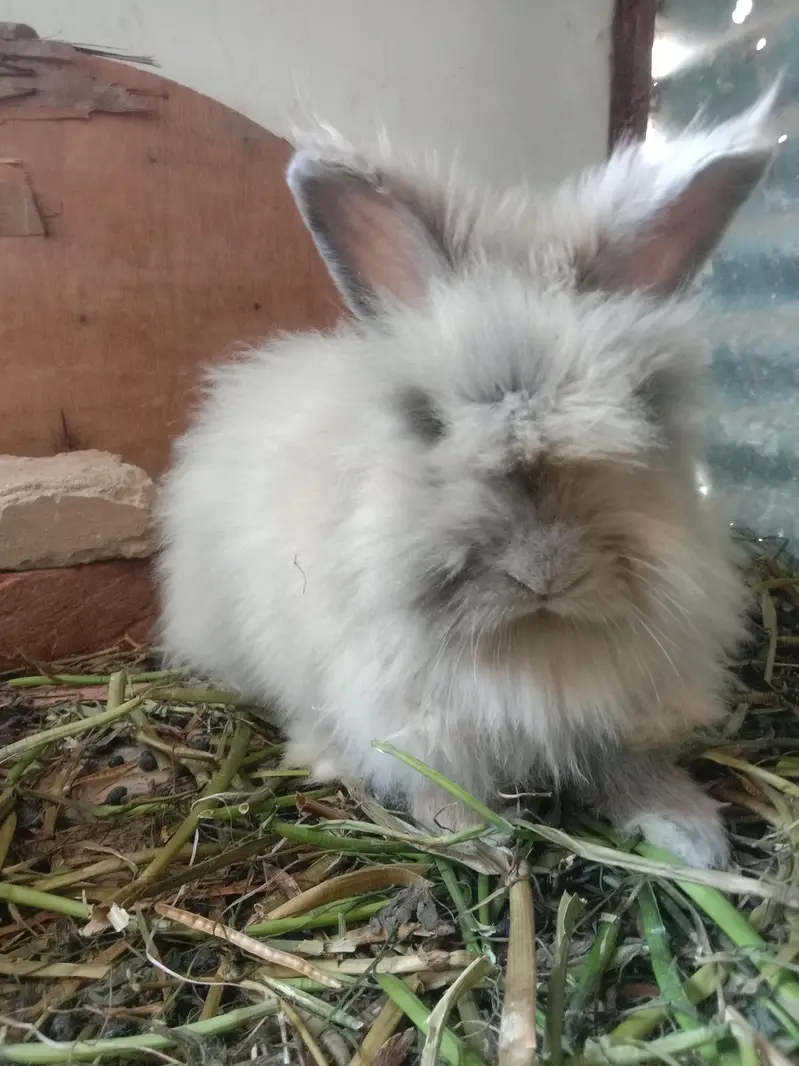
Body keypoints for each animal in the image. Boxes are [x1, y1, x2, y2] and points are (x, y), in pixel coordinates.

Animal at [156, 91, 778, 870]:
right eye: (428, 422)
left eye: (643, 406)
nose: (546, 573)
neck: (538, 643)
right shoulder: (412, 721)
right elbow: (440, 785)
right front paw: (477, 841)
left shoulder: (629, 712)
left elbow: (632, 769)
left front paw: (693, 838)